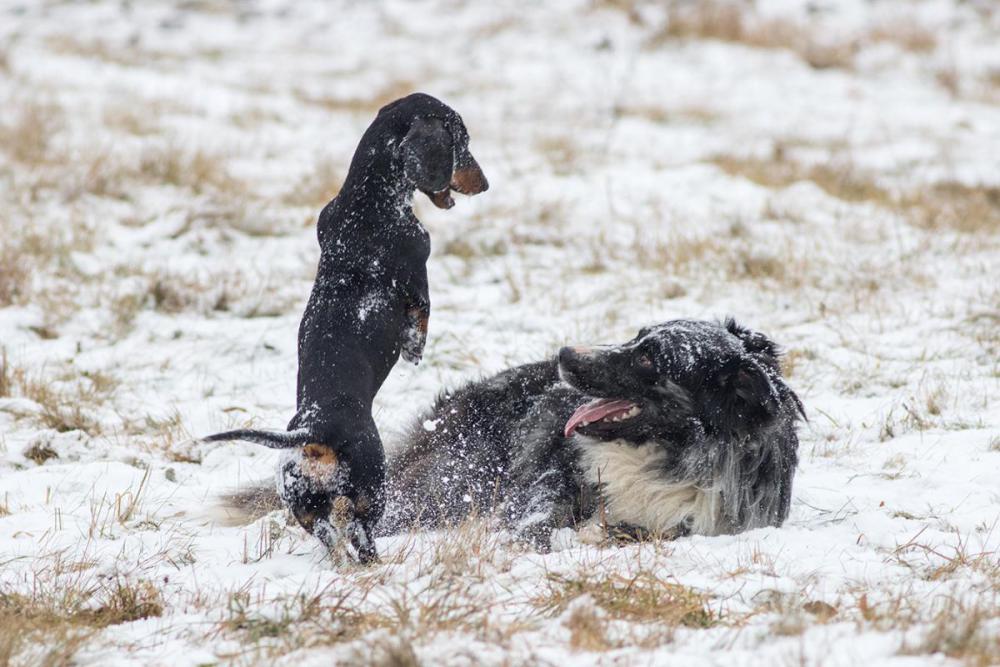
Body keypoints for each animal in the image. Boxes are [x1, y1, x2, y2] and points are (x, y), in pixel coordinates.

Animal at [198, 94, 488, 564]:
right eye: (461, 142)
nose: (484, 184)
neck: (366, 198)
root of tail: (315, 433)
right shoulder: (419, 282)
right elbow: (419, 325)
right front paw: (416, 352)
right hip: (373, 491)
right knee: (360, 535)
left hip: (303, 504)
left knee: (332, 539)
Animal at [378, 318, 808, 548]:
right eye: (636, 336)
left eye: (648, 358)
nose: (563, 354)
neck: (662, 455)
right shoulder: (551, 479)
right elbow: (538, 516)